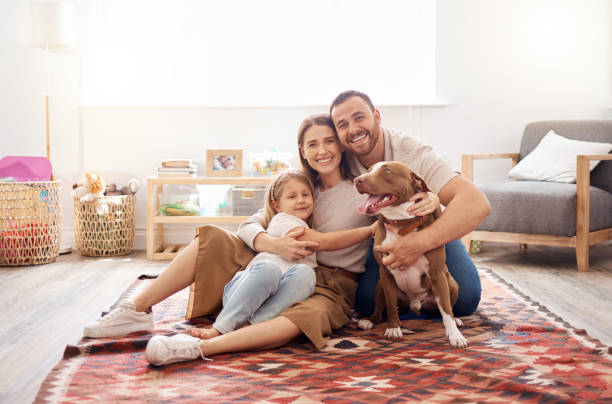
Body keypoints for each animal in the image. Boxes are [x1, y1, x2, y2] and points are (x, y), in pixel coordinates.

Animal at [354, 161, 464, 348]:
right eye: (368, 170)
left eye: (387, 171)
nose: (357, 180)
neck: (401, 224)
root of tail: (414, 305)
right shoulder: (385, 273)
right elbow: (391, 306)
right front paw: (393, 328)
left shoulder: (437, 273)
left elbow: (446, 310)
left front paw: (455, 335)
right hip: (379, 286)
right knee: (380, 309)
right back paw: (369, 320)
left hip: (451, 284)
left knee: (444, 308)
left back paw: (456, 320)